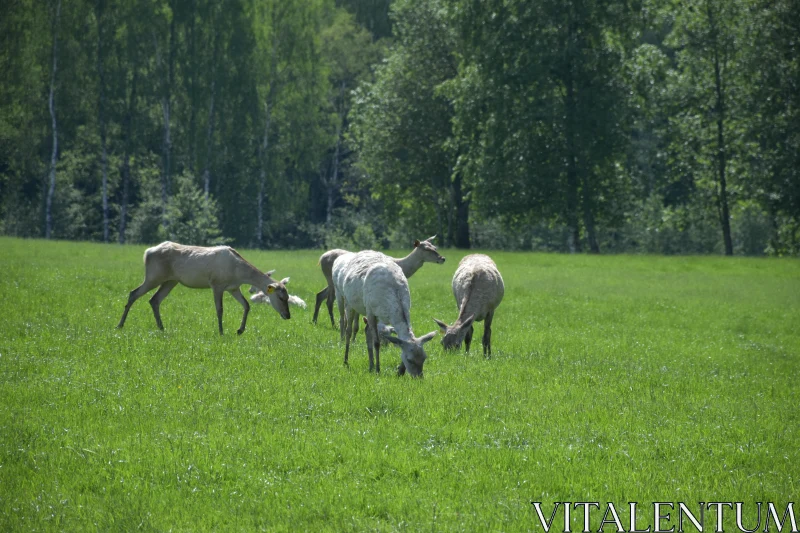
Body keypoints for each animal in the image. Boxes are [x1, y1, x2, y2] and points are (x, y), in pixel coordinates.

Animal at [117, 240, 292, 334]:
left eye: (288, 296)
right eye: (281, 297)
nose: (288, 315)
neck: (238, 273)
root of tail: (147, 252)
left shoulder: (233, 288)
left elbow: (247, 305)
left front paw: (240, 330)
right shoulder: (216, 284)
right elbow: (220, 309)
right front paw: (221, 332)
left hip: (171, 281)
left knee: (154, 300)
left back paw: (161, 328)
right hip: (154, 275)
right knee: (134, 293)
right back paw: (120, 325)